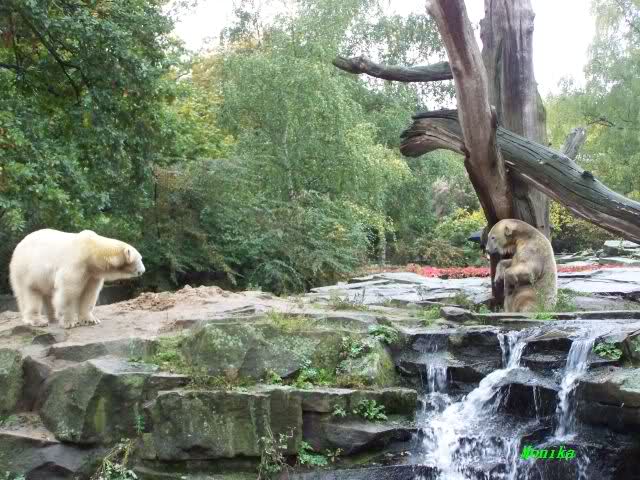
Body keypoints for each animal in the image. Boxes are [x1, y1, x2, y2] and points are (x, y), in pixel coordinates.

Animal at [9, 229, 145, 329]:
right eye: (140, 259)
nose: (143, 270)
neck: (91, 251)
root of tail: (18, 245)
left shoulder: (92, 274)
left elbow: (89, 294)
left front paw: (90, 320)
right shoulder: (76, 264)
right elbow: (68, 291)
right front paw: (69, 322)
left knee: (48, 294)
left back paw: (53, 318)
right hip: (26, 270)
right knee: (30, 293)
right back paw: (38, 321)